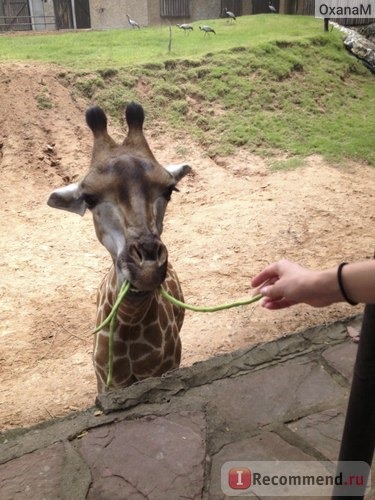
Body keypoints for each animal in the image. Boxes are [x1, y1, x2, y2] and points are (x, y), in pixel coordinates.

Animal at [47, 101, 192, 392]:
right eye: (89, 198)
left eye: (169, 190)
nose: (147, 267)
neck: (131, 322)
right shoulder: (106, 381)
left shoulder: (165, 369)